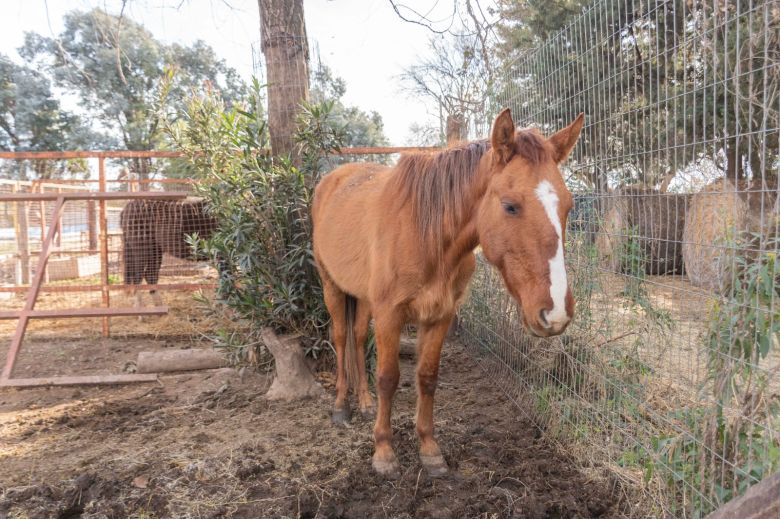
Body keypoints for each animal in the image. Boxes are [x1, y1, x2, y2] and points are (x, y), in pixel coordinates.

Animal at [314, 110, 580, 480]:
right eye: (510, 206)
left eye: (568, 206)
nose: (555, 313)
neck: (427, 235)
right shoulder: (389, 315)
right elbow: (388, 378)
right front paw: (384, 452)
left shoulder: (440, 315)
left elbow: (427, 378)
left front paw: (429, 450)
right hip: (332, 286)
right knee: (340, 338)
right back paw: (341, 406)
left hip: (363, 296)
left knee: (355, 337)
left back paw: (364, 403)